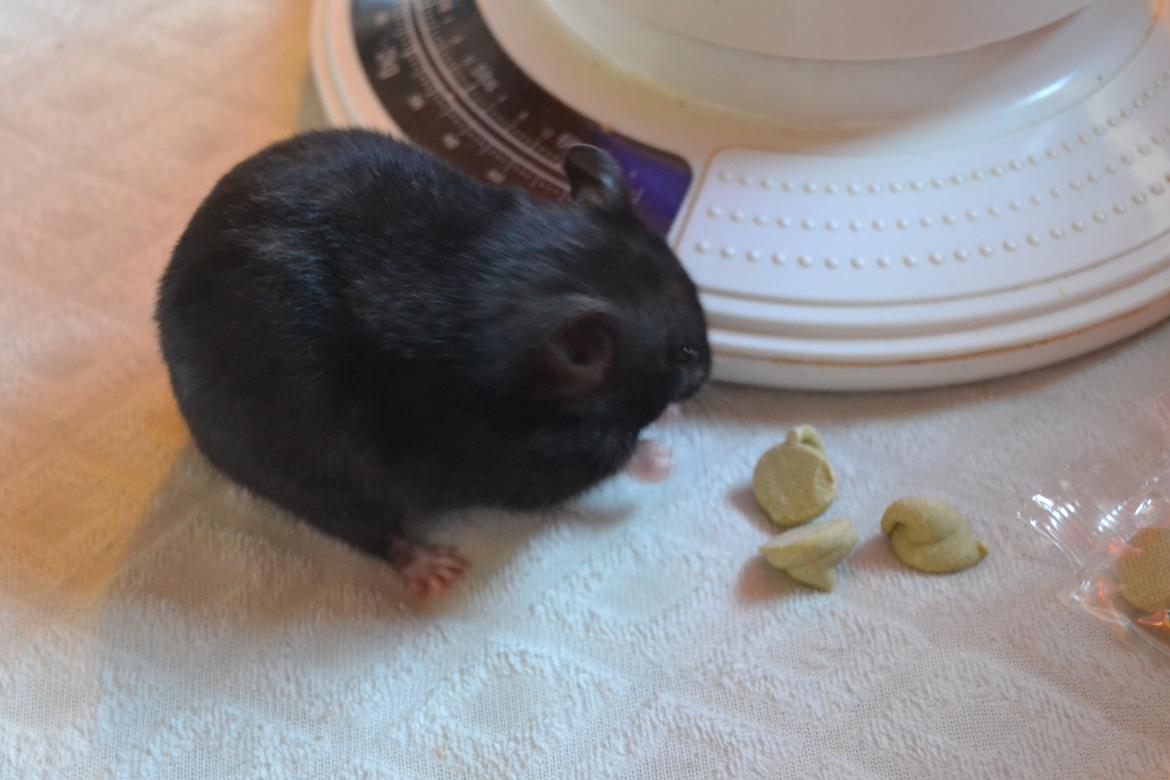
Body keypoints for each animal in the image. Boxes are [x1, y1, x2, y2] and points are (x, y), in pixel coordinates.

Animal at [155, 129, 710, 597]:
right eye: (683, 354)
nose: (706, 373)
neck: (518, 276)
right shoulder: (519, 458)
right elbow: (611, 454)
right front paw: (664, 454)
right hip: (306, 469)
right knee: (360, 527)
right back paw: (434, 569)